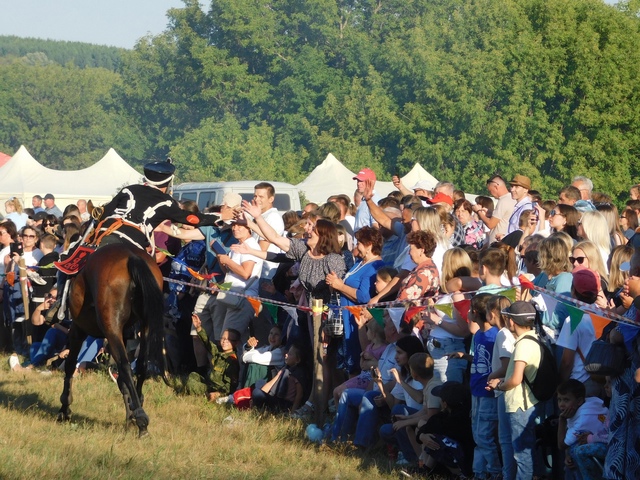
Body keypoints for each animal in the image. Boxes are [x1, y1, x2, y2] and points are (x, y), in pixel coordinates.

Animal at [57, 246, 165, 436]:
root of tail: (132, 258)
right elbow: (122, 380)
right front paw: (129, 414)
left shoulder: (78, 329)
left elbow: (70, 365)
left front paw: (64, 408)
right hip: (143, 326)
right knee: (141, 365)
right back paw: (138, 408)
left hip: (111, 328)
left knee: (125, 366)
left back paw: (141, 419)